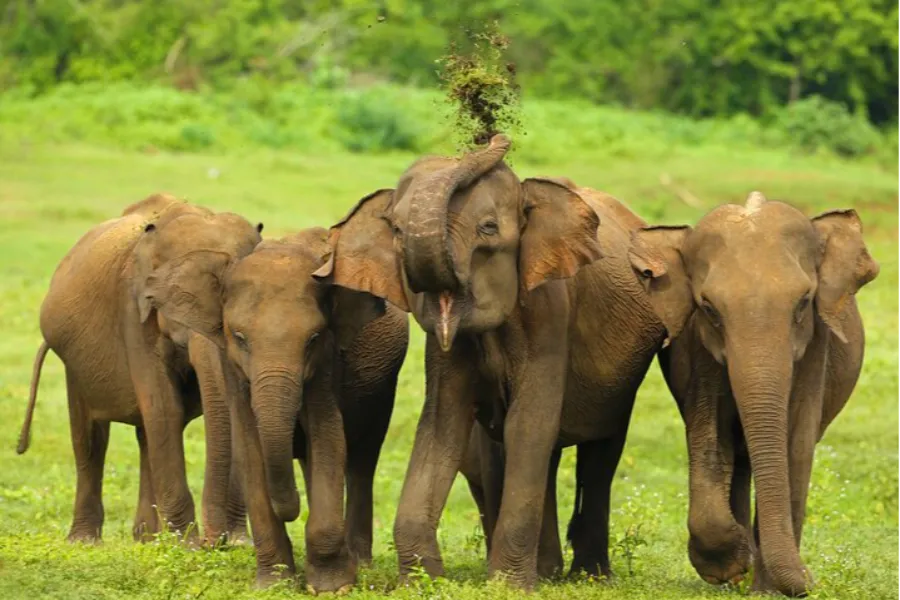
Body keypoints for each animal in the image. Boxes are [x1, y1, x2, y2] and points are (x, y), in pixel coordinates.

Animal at [16, 193, 262, 545]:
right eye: (175, 301)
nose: (216, 542)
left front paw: (237, 544)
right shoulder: (133, 309)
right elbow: (164, 407)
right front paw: (188, 546)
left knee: (146, 434)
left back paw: (146, 538)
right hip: (74, 363)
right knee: (90, 437)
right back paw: (87, 541)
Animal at [164, 227, 408, 593]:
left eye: (313, 338)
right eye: (239, 337)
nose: (292, 510)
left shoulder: (327, 363)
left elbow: (328, 439)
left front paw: (332, 588)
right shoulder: (232, 370)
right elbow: (250, 451)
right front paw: (274, 585)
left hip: (382, 386)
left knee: (362, 459)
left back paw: (359, 563)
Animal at [315, 134, 668, 589]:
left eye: (488, 229)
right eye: (395, 229)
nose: (493, 137)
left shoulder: (550, 312)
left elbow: (528, 424)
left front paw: (509, 584)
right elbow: (442, 423)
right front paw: (425, 581)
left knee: (599, 455)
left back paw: (589, 577)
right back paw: (549, 572)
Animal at [627, 192, 879, 595]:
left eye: (803, 302)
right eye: (709, 309)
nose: (812, 578)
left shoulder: (815, 349)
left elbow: (796, 446)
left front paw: (767, 589)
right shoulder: (697, 350)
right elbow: (709, 438)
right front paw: (730, 563)